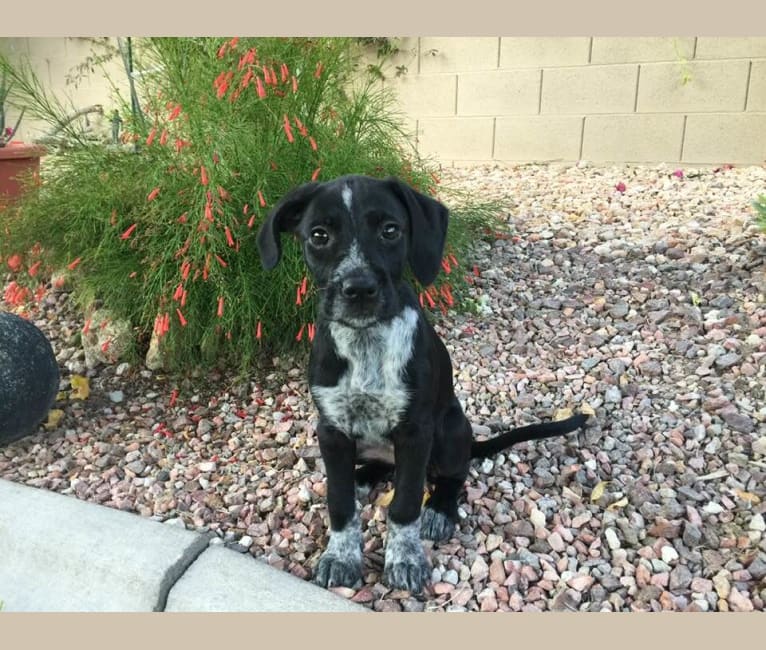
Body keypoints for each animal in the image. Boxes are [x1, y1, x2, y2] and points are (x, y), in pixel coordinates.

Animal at [258, 172, 588, 592]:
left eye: (390, 230)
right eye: (318, 235)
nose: (359, 289)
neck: (367, 343)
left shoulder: (416, 433)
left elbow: (405, 504)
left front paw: (404, 559)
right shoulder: (331, 430)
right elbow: (339, 501)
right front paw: (341, 555)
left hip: (449, 430)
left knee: (453, 474)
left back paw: (440, 509)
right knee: (377, 468)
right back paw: (362, 476)